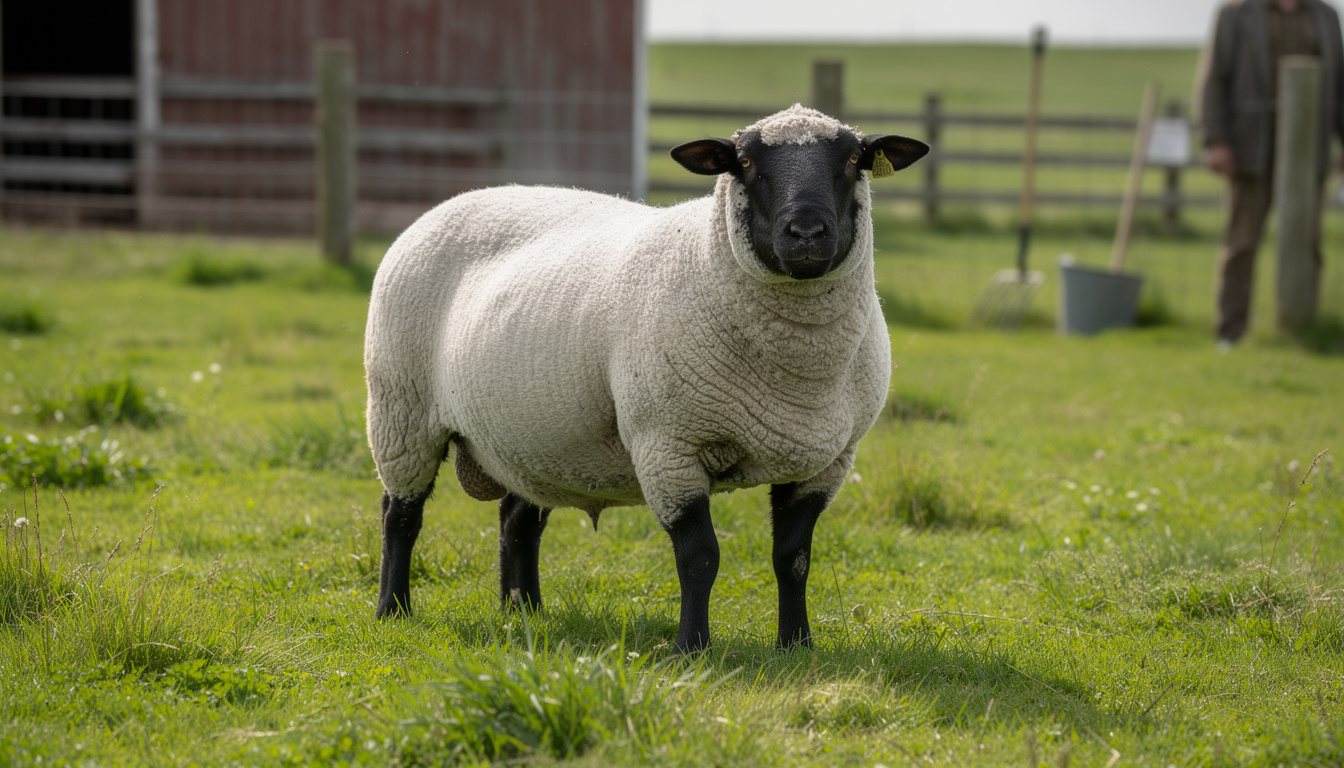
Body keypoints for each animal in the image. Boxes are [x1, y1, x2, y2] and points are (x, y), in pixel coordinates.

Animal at [365, 104, 928, 651]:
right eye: (745, 163)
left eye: (853, 160)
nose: (807, 234)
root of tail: (458, 199)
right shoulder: (669, 448)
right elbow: (699, 558)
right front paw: (691, 648)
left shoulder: (827, 462)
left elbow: (793, 558)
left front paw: (797, 646)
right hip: (401, 410)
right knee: (400, 515)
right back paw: (393, 610)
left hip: (535, 435)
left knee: (516, 521)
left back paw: (524, 611)